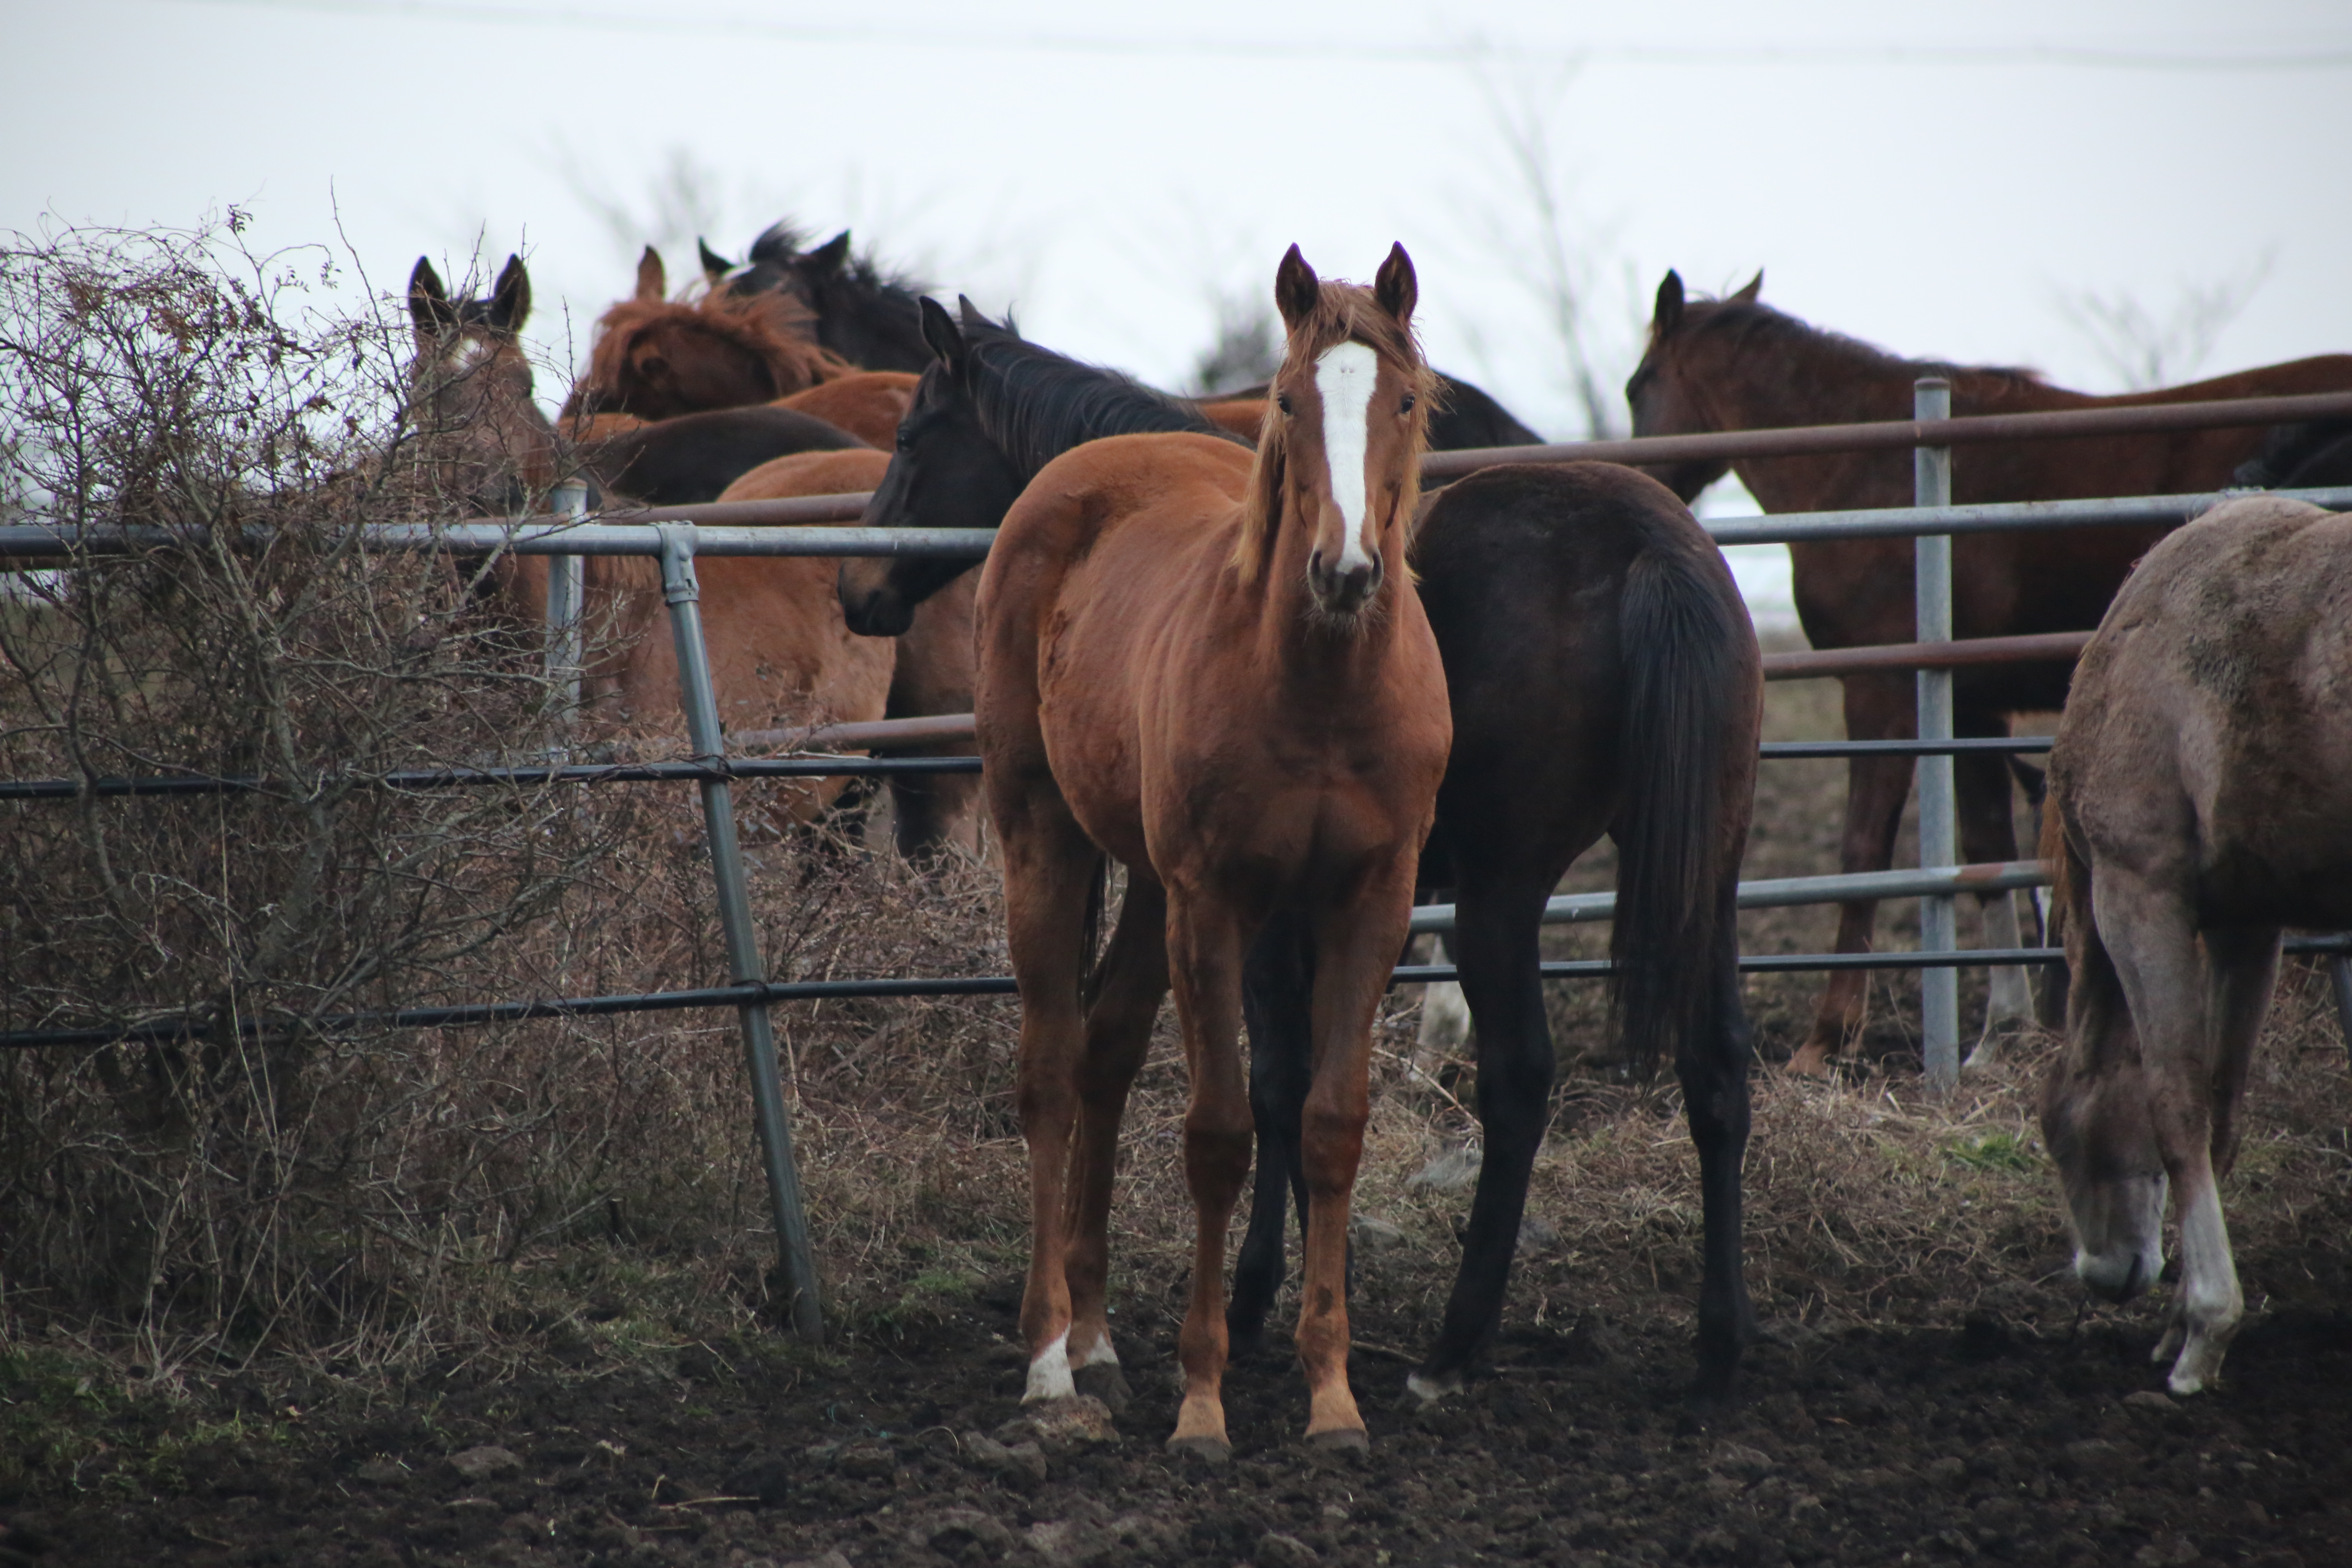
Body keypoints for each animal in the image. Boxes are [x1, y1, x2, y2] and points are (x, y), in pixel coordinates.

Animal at [978, 245, 1449, 1457]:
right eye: (1287, 399)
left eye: (1404, 401)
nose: (1343, 571)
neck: (1321, 688)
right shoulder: (1214, 903)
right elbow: (1220, 1137)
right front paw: (1202, 1404)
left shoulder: (1371, 901)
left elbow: (1328, 1126)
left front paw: (1331, 1397)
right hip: (1045, 836)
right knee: (1050, 1069)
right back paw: (1048, 1359)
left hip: (1145, 885)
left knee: (1103, 1050)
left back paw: (1098, 1343)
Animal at [2041, 493, 2352, 1401]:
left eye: (2053, 1132)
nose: (2101, 1273)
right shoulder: (2250, 922)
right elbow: (2222, 1107)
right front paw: (2179, 1320)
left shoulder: (2140, 893)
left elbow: (2175, 1104)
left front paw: (2204, 1330)